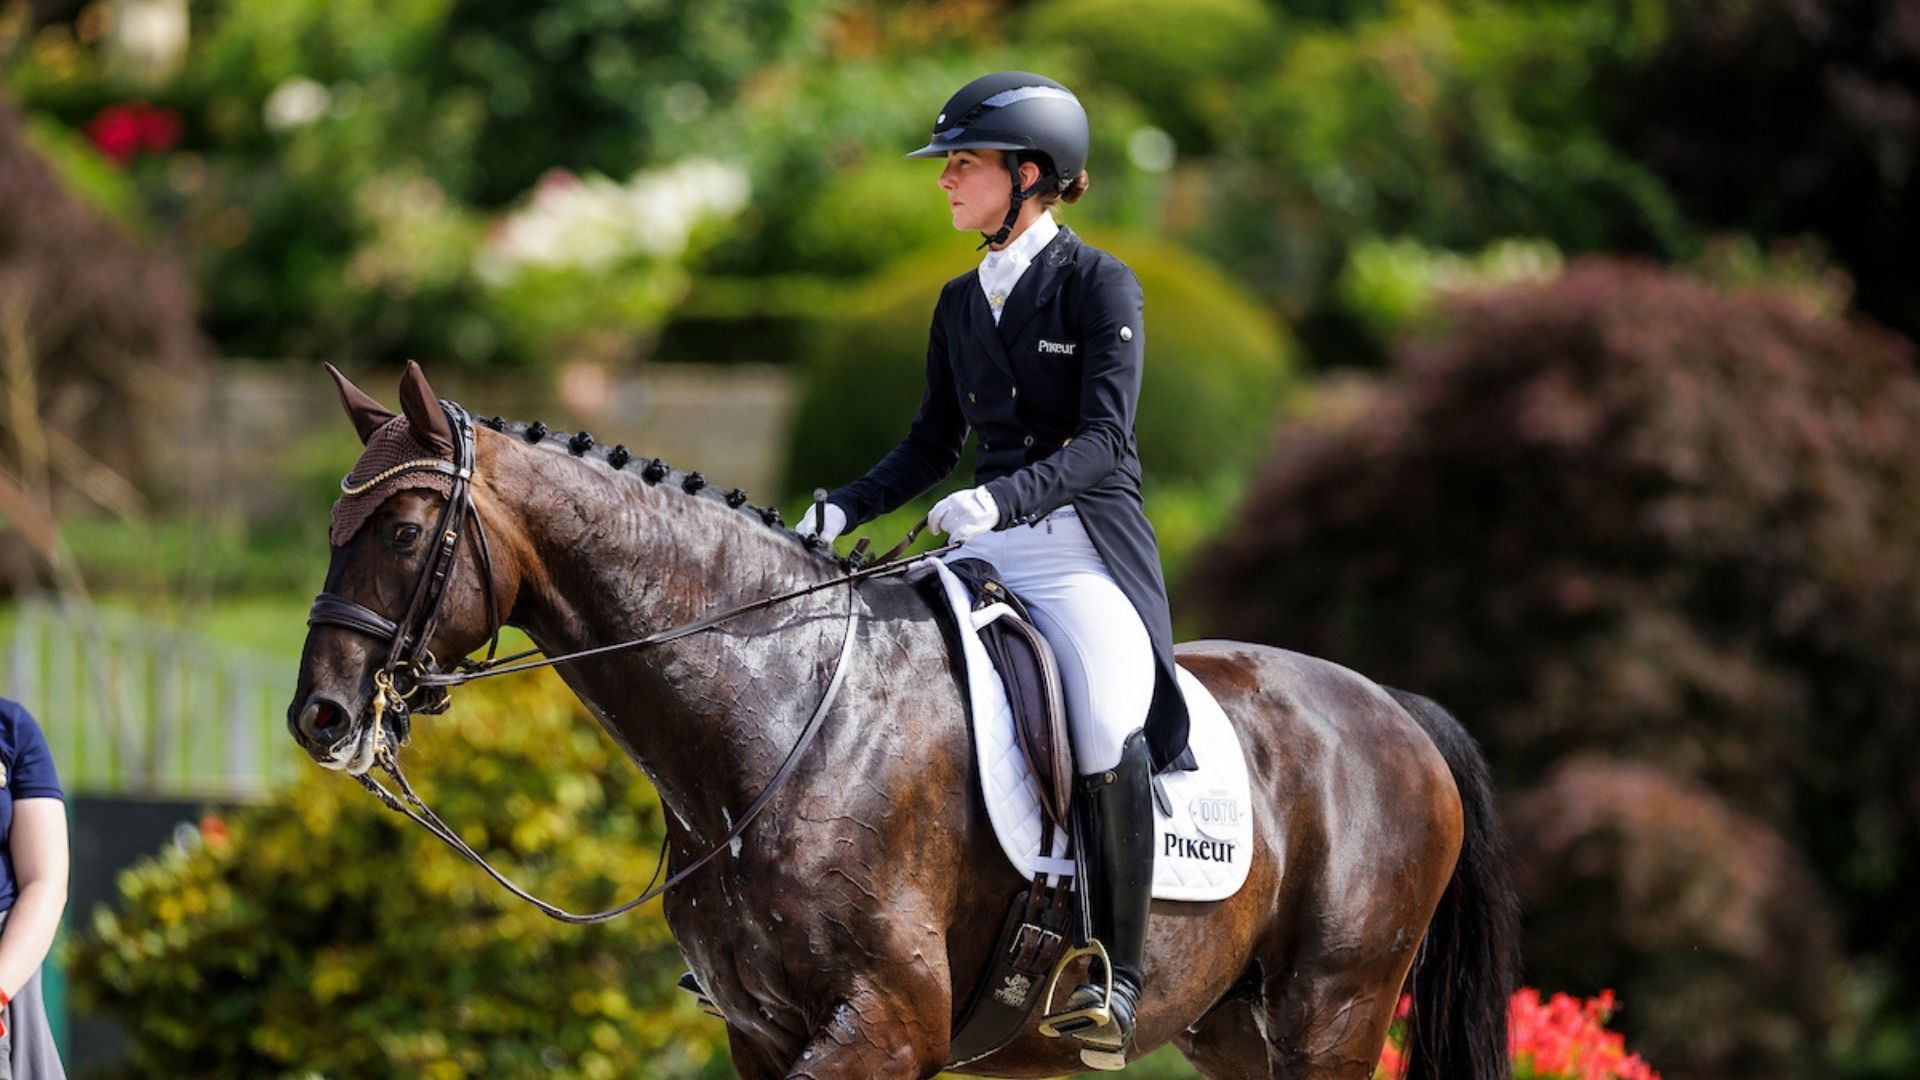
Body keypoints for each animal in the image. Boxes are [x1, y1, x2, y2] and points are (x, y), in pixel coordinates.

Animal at [287, 363, 1518, 1079]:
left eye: (403, 532)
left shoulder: (886, 1025)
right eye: (333, 530)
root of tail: (1393, 709)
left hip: (1333, 1011)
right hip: (1235, 1029)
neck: (778, 718)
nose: (320, 717)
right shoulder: (758, 1033)